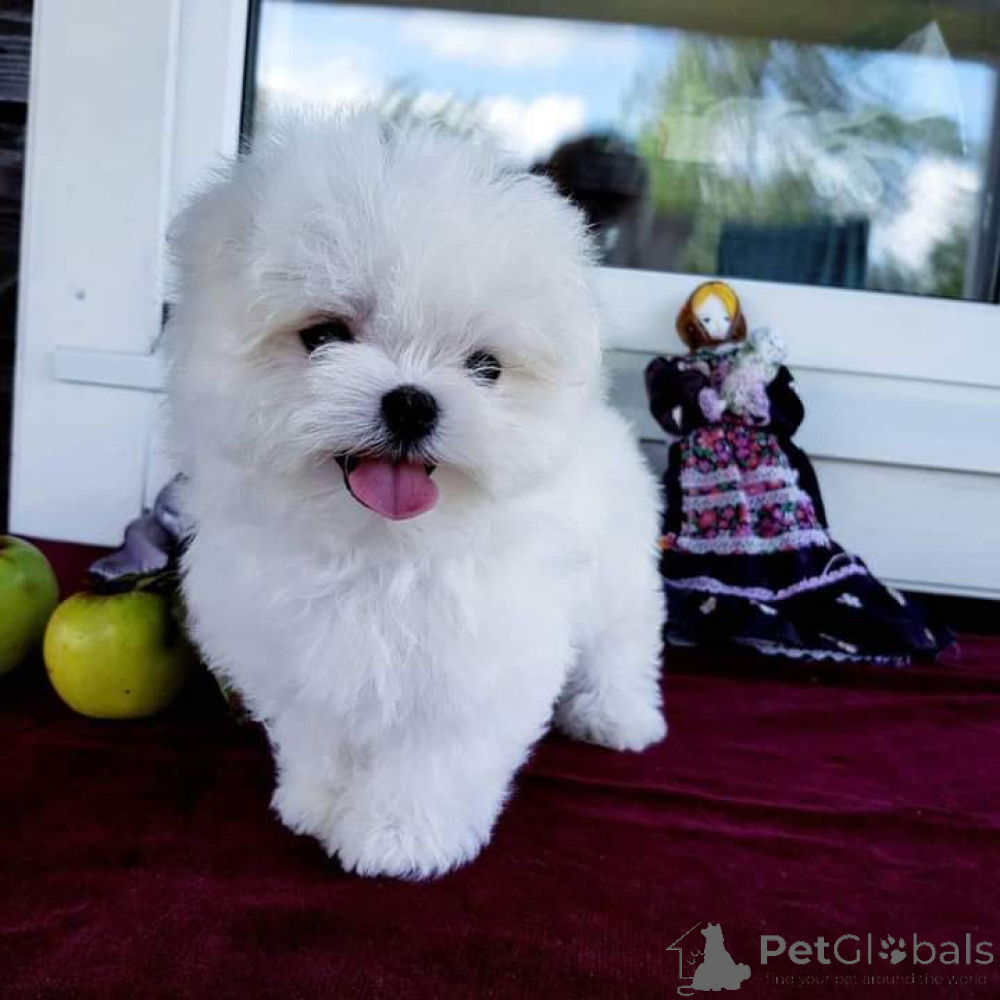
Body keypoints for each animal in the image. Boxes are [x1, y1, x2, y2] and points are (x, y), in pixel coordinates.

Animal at [164, 110, 666, 879]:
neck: (377, 549)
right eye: (324, 335)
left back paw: (619, 715)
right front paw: (315, 800)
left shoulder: (473, 662)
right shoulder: (300, 651)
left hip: (618, 571)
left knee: (624, 639)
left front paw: (398, 837)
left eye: (485, 367)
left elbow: (436, 758)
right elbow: (320, 731)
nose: (411, 403)